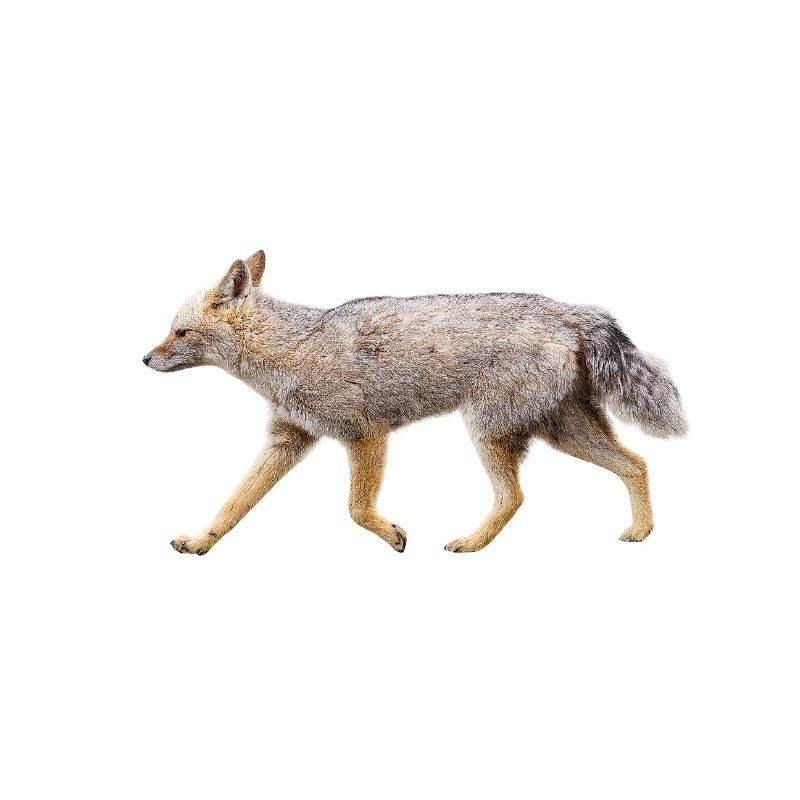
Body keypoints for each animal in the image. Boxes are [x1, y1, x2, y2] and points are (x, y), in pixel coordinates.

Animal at [143, 250, 686, 556]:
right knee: (636, 463)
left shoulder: (365, 435)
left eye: (178, 332)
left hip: (489, 431)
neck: (292, 346)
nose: (144, 358)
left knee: (515, 496)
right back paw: (642, 532)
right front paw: (201, 542)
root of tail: (570, 310)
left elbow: (356, 509)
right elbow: (232, 505)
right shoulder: (286, 442)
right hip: (562, 432)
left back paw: (470, 544)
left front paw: (393, 535)